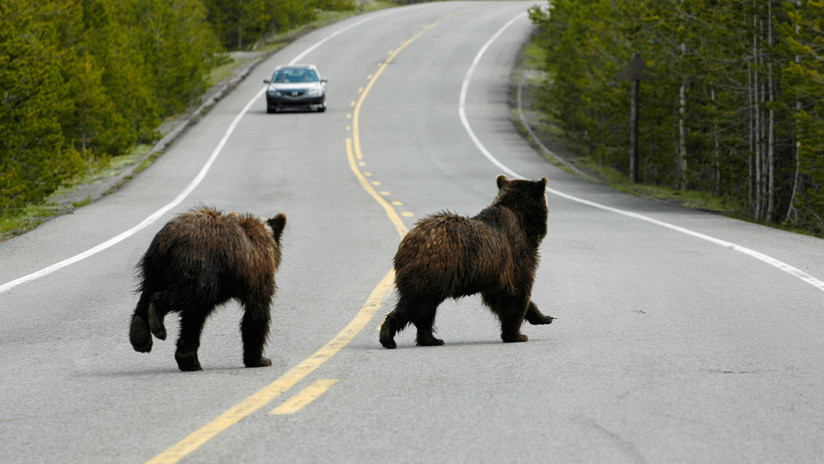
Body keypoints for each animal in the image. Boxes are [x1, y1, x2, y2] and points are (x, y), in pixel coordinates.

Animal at [127, 207, 284, 370]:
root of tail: (170, 239)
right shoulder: (257, 277)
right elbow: (256, 313)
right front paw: (260, 359)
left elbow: (193, 319)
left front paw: (188, 359)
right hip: (200, 266)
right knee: (186, 294)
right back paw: (157, 320)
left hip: (155, 268)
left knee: (147, 293)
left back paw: (139, 335)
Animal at [380, 175, 552, 348]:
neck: (524, 222)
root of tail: (408, 243)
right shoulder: (516, 255)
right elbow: (516, 294)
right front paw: (517, 335)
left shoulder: (495, 272)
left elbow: (500, 296)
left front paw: (543, 317)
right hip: (434, 271)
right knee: (417, 304)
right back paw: (389, 336)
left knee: (425, 311)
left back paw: (430, 339)